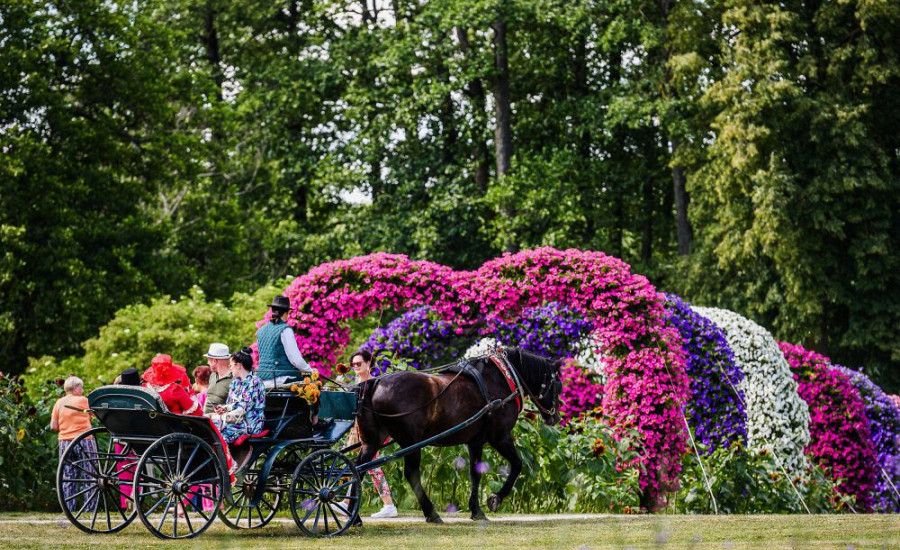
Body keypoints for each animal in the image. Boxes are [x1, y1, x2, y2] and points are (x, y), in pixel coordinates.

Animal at [354, 350, 560, 528]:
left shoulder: (476, 442)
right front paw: (495, 499)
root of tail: (375, 383)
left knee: (359, 468)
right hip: (411, 442)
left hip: (372, 442)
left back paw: (355, 517)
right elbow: (517, 465)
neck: (502, 378)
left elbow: (475, 474)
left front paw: (476, 510)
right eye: (556, 385)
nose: (555, 417)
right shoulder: (500, 437)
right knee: (411, 473)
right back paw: (431, 513)